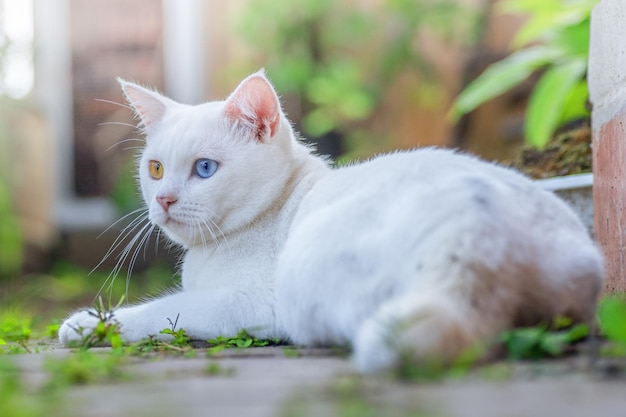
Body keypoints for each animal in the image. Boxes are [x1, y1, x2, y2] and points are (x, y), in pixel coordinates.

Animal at [61, 70, 604, 372]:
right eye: (154, 169)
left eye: (205, 169)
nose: (165, 200)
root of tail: (478, 239)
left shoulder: (247, 301)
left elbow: (165, 309)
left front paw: (88, 323)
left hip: (305, 282)